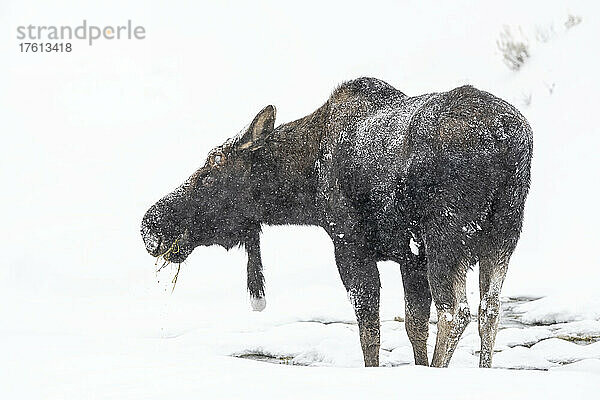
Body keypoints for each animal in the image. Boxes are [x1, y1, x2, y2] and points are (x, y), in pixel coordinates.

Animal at [142, 76, 536, 368]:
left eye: (212, 168)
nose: (151, 224)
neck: (306, 188)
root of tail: (510, 140)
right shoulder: (411, 257)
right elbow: (414, 324)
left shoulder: (350, 245)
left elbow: (369, 330)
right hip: (503, 236)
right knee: (490, 308)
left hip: (447, 235)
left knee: (456, 313)